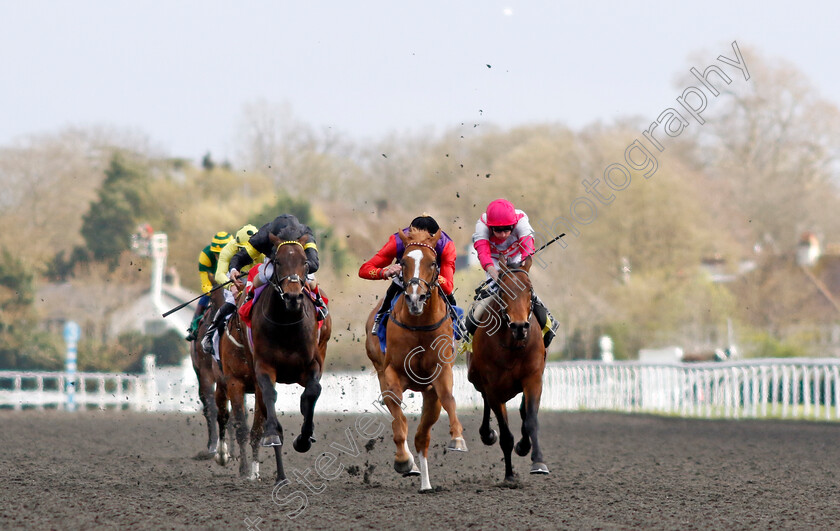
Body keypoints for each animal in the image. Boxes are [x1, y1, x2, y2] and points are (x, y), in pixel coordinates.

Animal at [251, 233, 330, 486]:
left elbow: (312, 392)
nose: (293, 296)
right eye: (277, 262)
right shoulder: (264, 366)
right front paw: (272, 434)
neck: (286, 324)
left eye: (305, 262)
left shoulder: (312, 365)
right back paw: (281, 476)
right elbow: (270, 396)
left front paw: (304, 438)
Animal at [362, 227, 466, 492]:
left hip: (430, 395)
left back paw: (426, 484)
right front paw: (403, 461)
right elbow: (398, 418)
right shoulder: (391, 373)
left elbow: (449, 399)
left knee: (422, 437)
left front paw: (457, 438)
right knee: (402, 422)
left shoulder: (441, 372)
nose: (415, 298)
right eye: (403, 262)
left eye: (433, 263)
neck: (419, 324)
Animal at [466, 258, 552, 482]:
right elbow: (505, 434)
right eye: (503, 291)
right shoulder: (493, 388)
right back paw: (487, 434)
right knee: (486, 403)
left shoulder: (533, 378)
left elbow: (531, 419)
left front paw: (537, 460)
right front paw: (509, 476)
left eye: (529, 289)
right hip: (479, 381)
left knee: (523, 411)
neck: (512, 345)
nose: (520, 326)